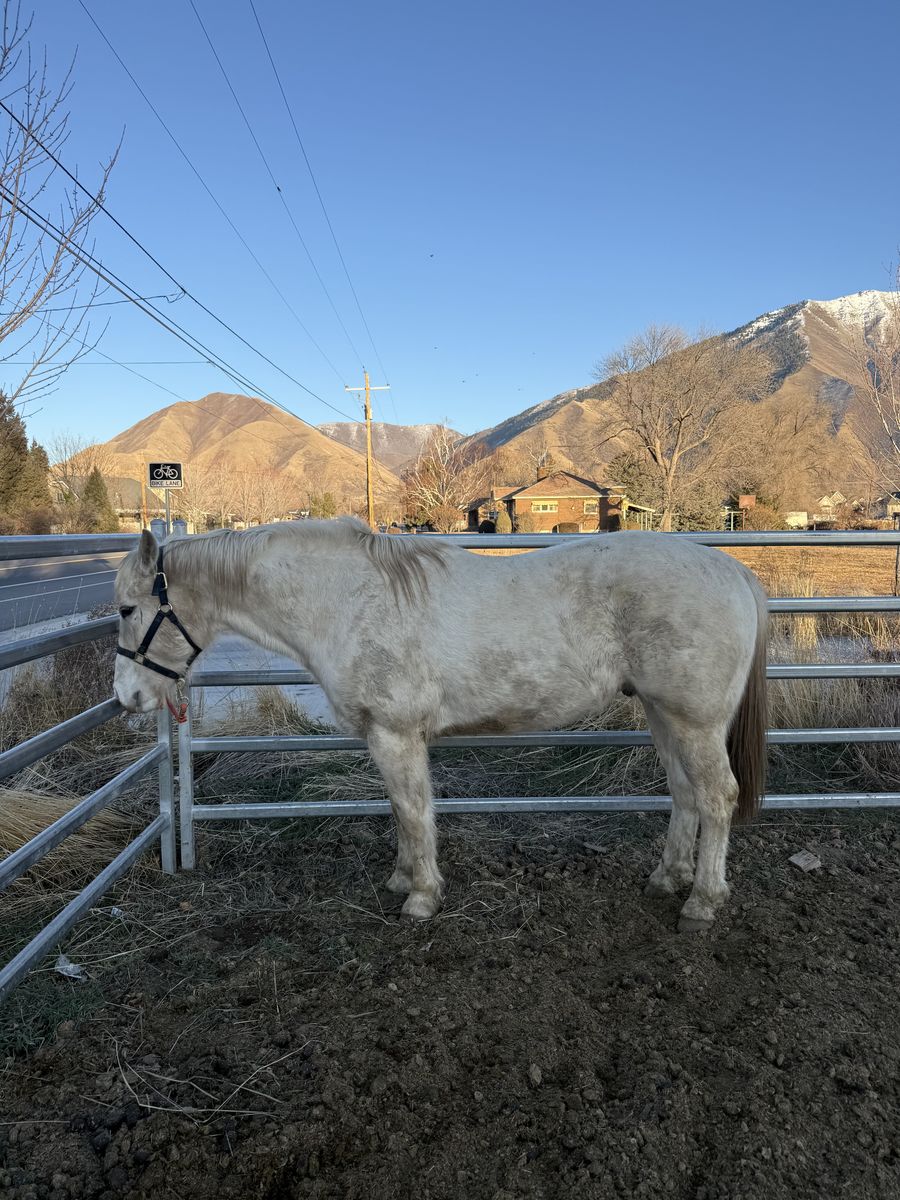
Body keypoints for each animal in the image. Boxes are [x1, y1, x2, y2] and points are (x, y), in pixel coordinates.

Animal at [113, 518, 768, 932]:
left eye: (125, 608)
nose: (127, 697)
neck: (347, 601)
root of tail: (732, 570)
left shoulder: (396, 734)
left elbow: (411, 809)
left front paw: (422, 896)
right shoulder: (387, 738)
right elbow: (401, 810)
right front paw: (403, 879)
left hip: (694, 721)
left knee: (716, 796)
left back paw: (702, 902)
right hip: (664, 714)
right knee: (685, 794)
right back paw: (667, 878)